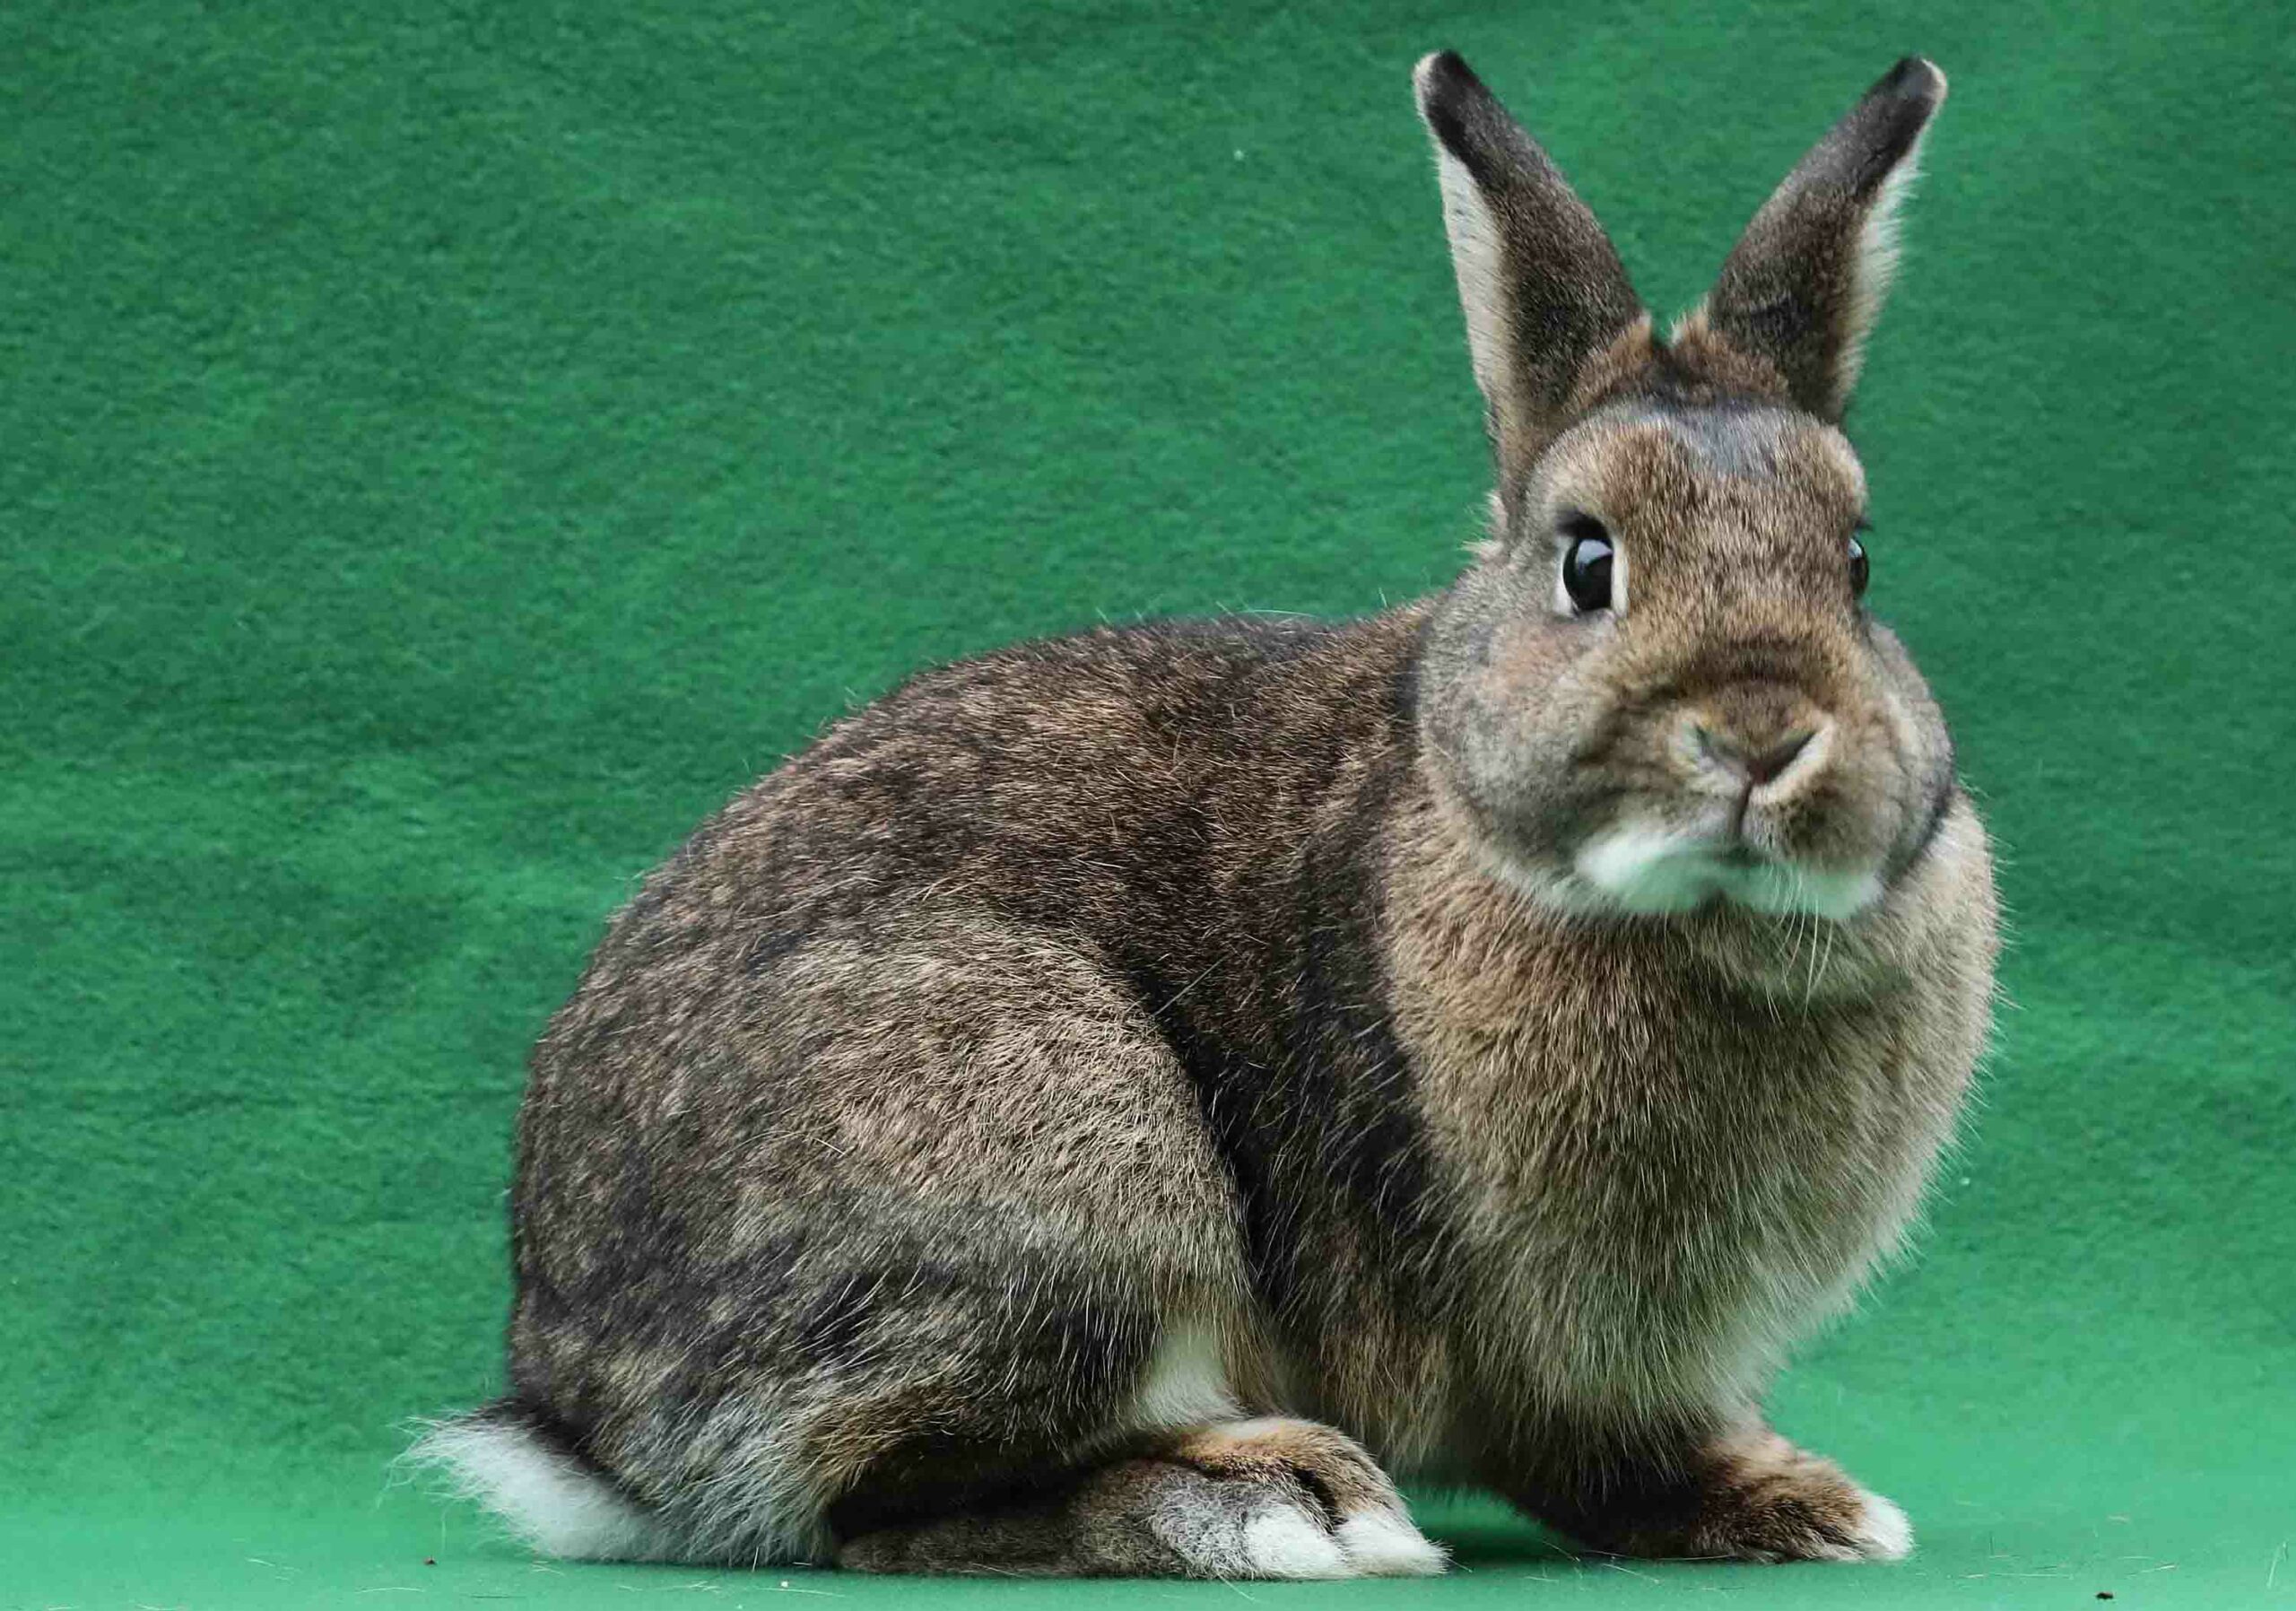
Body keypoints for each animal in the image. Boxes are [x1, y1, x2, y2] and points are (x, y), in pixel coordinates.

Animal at [412, 51, 1997, 1579]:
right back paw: (1279, 1505)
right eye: (1587, 562)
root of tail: (588, 1423)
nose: (1764, 736)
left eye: (1857, 561)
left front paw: (1802, 1507)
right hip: (1062, 1154)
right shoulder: (1541, 1345)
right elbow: (1584, 1456)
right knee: (884, 1509)